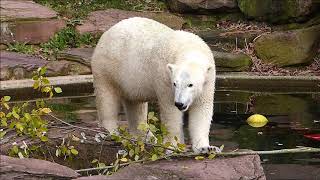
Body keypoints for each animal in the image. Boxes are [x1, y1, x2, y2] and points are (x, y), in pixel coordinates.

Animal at [92, 16, 218, 153]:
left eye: (190, 85)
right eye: (175, 84)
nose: (180, 103)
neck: (189, 49)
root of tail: (107, 32)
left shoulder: (208, 82)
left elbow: (201, 109)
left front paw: (206, 148)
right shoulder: (164, 79)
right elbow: (171, 112)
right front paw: (173, 146)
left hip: (130, 79)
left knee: (135, 105)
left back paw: (147, 137)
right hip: (108, 66)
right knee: (107, 98)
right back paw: (112, 132)